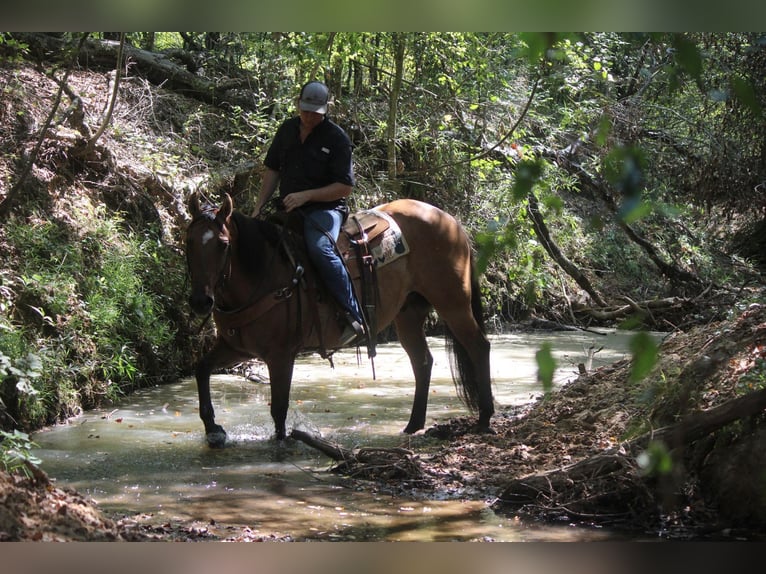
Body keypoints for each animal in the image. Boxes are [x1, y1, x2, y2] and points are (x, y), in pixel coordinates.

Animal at [187, 194, 498, 450]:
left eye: (223, 245)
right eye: (187, 241)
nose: (200, 301)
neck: (263, 273)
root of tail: (450, 220)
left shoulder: (281, 355)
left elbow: (279, 408)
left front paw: (280, 445)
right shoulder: (236, 348)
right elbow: (201, 369)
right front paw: (214, 429)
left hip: (453, 304)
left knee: (478, 346)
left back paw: (484, 418)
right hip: (408, 314)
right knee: (422, 361)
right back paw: (413, 425)